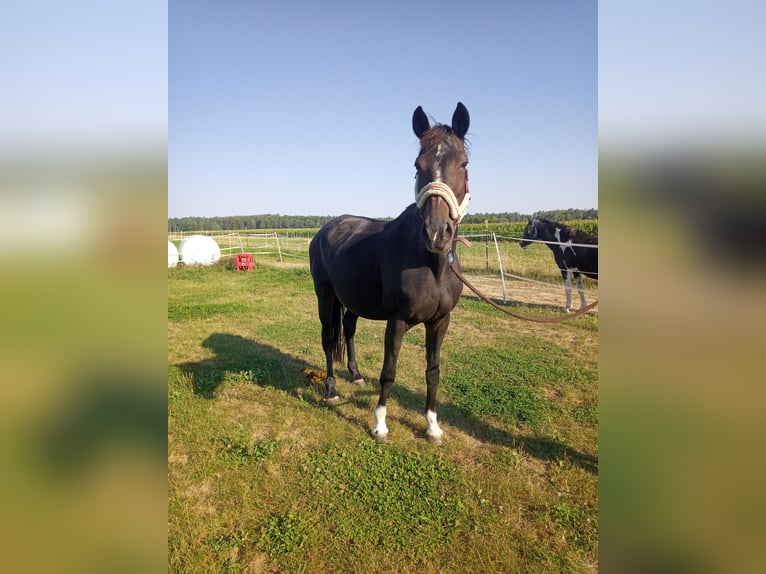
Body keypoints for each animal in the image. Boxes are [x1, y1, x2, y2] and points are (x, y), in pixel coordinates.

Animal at [308, 103, 472, 446]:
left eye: (463, 163)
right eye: (417, 164)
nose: (436, 233)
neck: (432, 265)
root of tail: (326, 229)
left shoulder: (440, 322)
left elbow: (433, 371)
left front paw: (433, 427)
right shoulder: (396, 322)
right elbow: (388, 372)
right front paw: (380, 425)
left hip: (352, 300)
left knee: (349, 331)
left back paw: (356, 376)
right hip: (325, 296)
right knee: (329, 338)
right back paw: (331, 389)